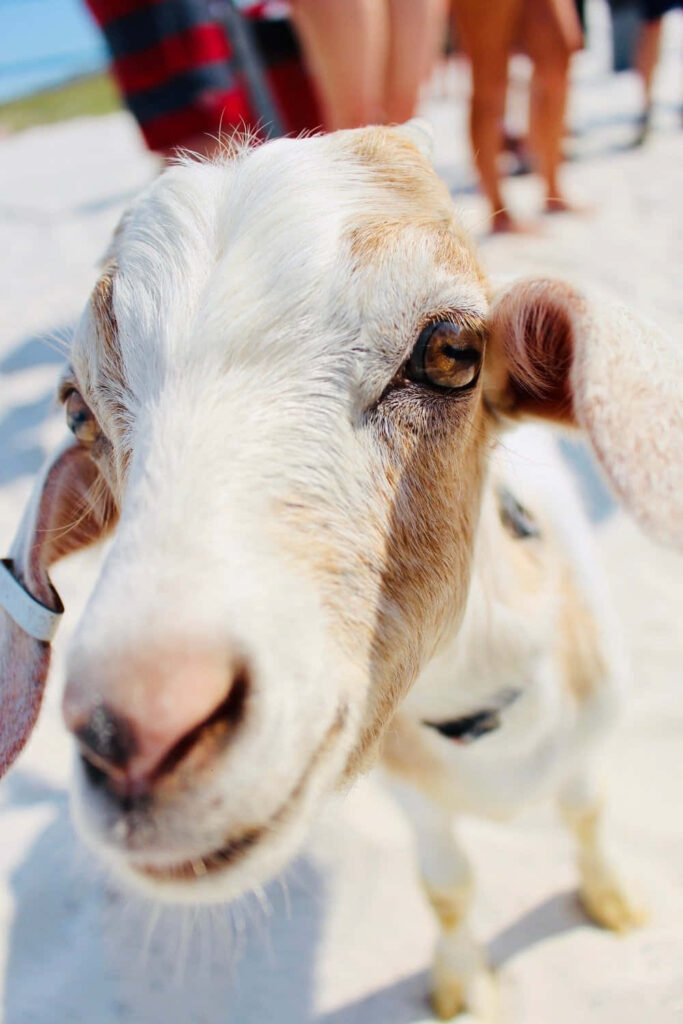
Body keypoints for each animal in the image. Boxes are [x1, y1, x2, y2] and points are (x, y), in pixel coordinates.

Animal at [0, 122, 681, 1019]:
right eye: (78, 410)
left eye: (451, 351)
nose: (137, 731)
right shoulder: (410, 795)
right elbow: (447, 887)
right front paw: (460, 985)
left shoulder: (588, 744)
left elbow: (587, 816)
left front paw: (612, 902)